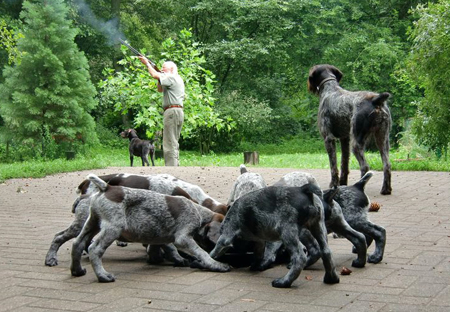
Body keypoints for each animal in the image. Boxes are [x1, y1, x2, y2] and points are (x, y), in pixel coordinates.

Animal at [71, 173, 230, 282]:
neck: (198, 211)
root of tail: (106, 187)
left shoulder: (160, 236)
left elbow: (166, 249)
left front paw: (173, 259)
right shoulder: (182, 238)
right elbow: (201, 253)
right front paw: (217, 264)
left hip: (92, 223)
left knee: (77, 243)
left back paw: (76, 270)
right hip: (113, 228)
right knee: (94, 249)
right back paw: (103, 275)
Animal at [209, 183, 340, 288]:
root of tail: (303, 189)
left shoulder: (226, 237)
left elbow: (215, 251)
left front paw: (211, 258)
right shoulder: (259, 241)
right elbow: (259, 255)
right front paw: (257, 265)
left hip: (288, 233)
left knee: (300, 258)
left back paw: (284, 282)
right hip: (318, 227)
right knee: (326, 252)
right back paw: (331, 278)